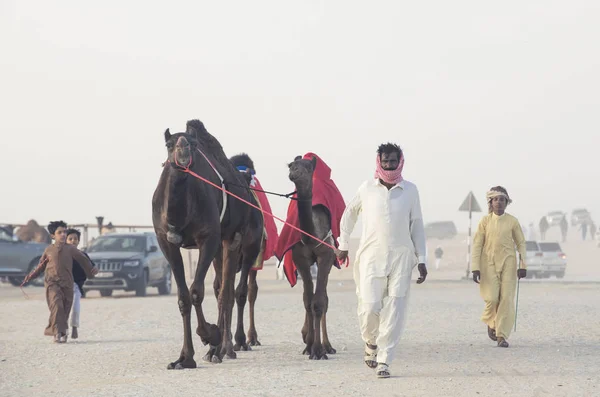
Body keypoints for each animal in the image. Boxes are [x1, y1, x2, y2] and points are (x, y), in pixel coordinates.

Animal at [152, 118, 260, 368]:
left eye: (192, 144)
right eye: (169, 144)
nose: (183, 150)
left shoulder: (208, 238)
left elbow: (196, 292)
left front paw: (210, 334)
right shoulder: (166, 242)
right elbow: (183, 297)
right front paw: (184, 358)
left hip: (241, 241)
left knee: (232, 292)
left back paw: (227, 346)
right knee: (223, 288)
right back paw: (219, 349)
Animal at [274, 152, 344, 358]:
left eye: (308, 167)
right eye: (291, 165)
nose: (294, 172)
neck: (311, 234)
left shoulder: (325, 257)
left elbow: (319, 302)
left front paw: (319, 350)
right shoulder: (301, 259)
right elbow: (308, 300)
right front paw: (309, 346)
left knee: (324, 299)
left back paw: (328, 345)